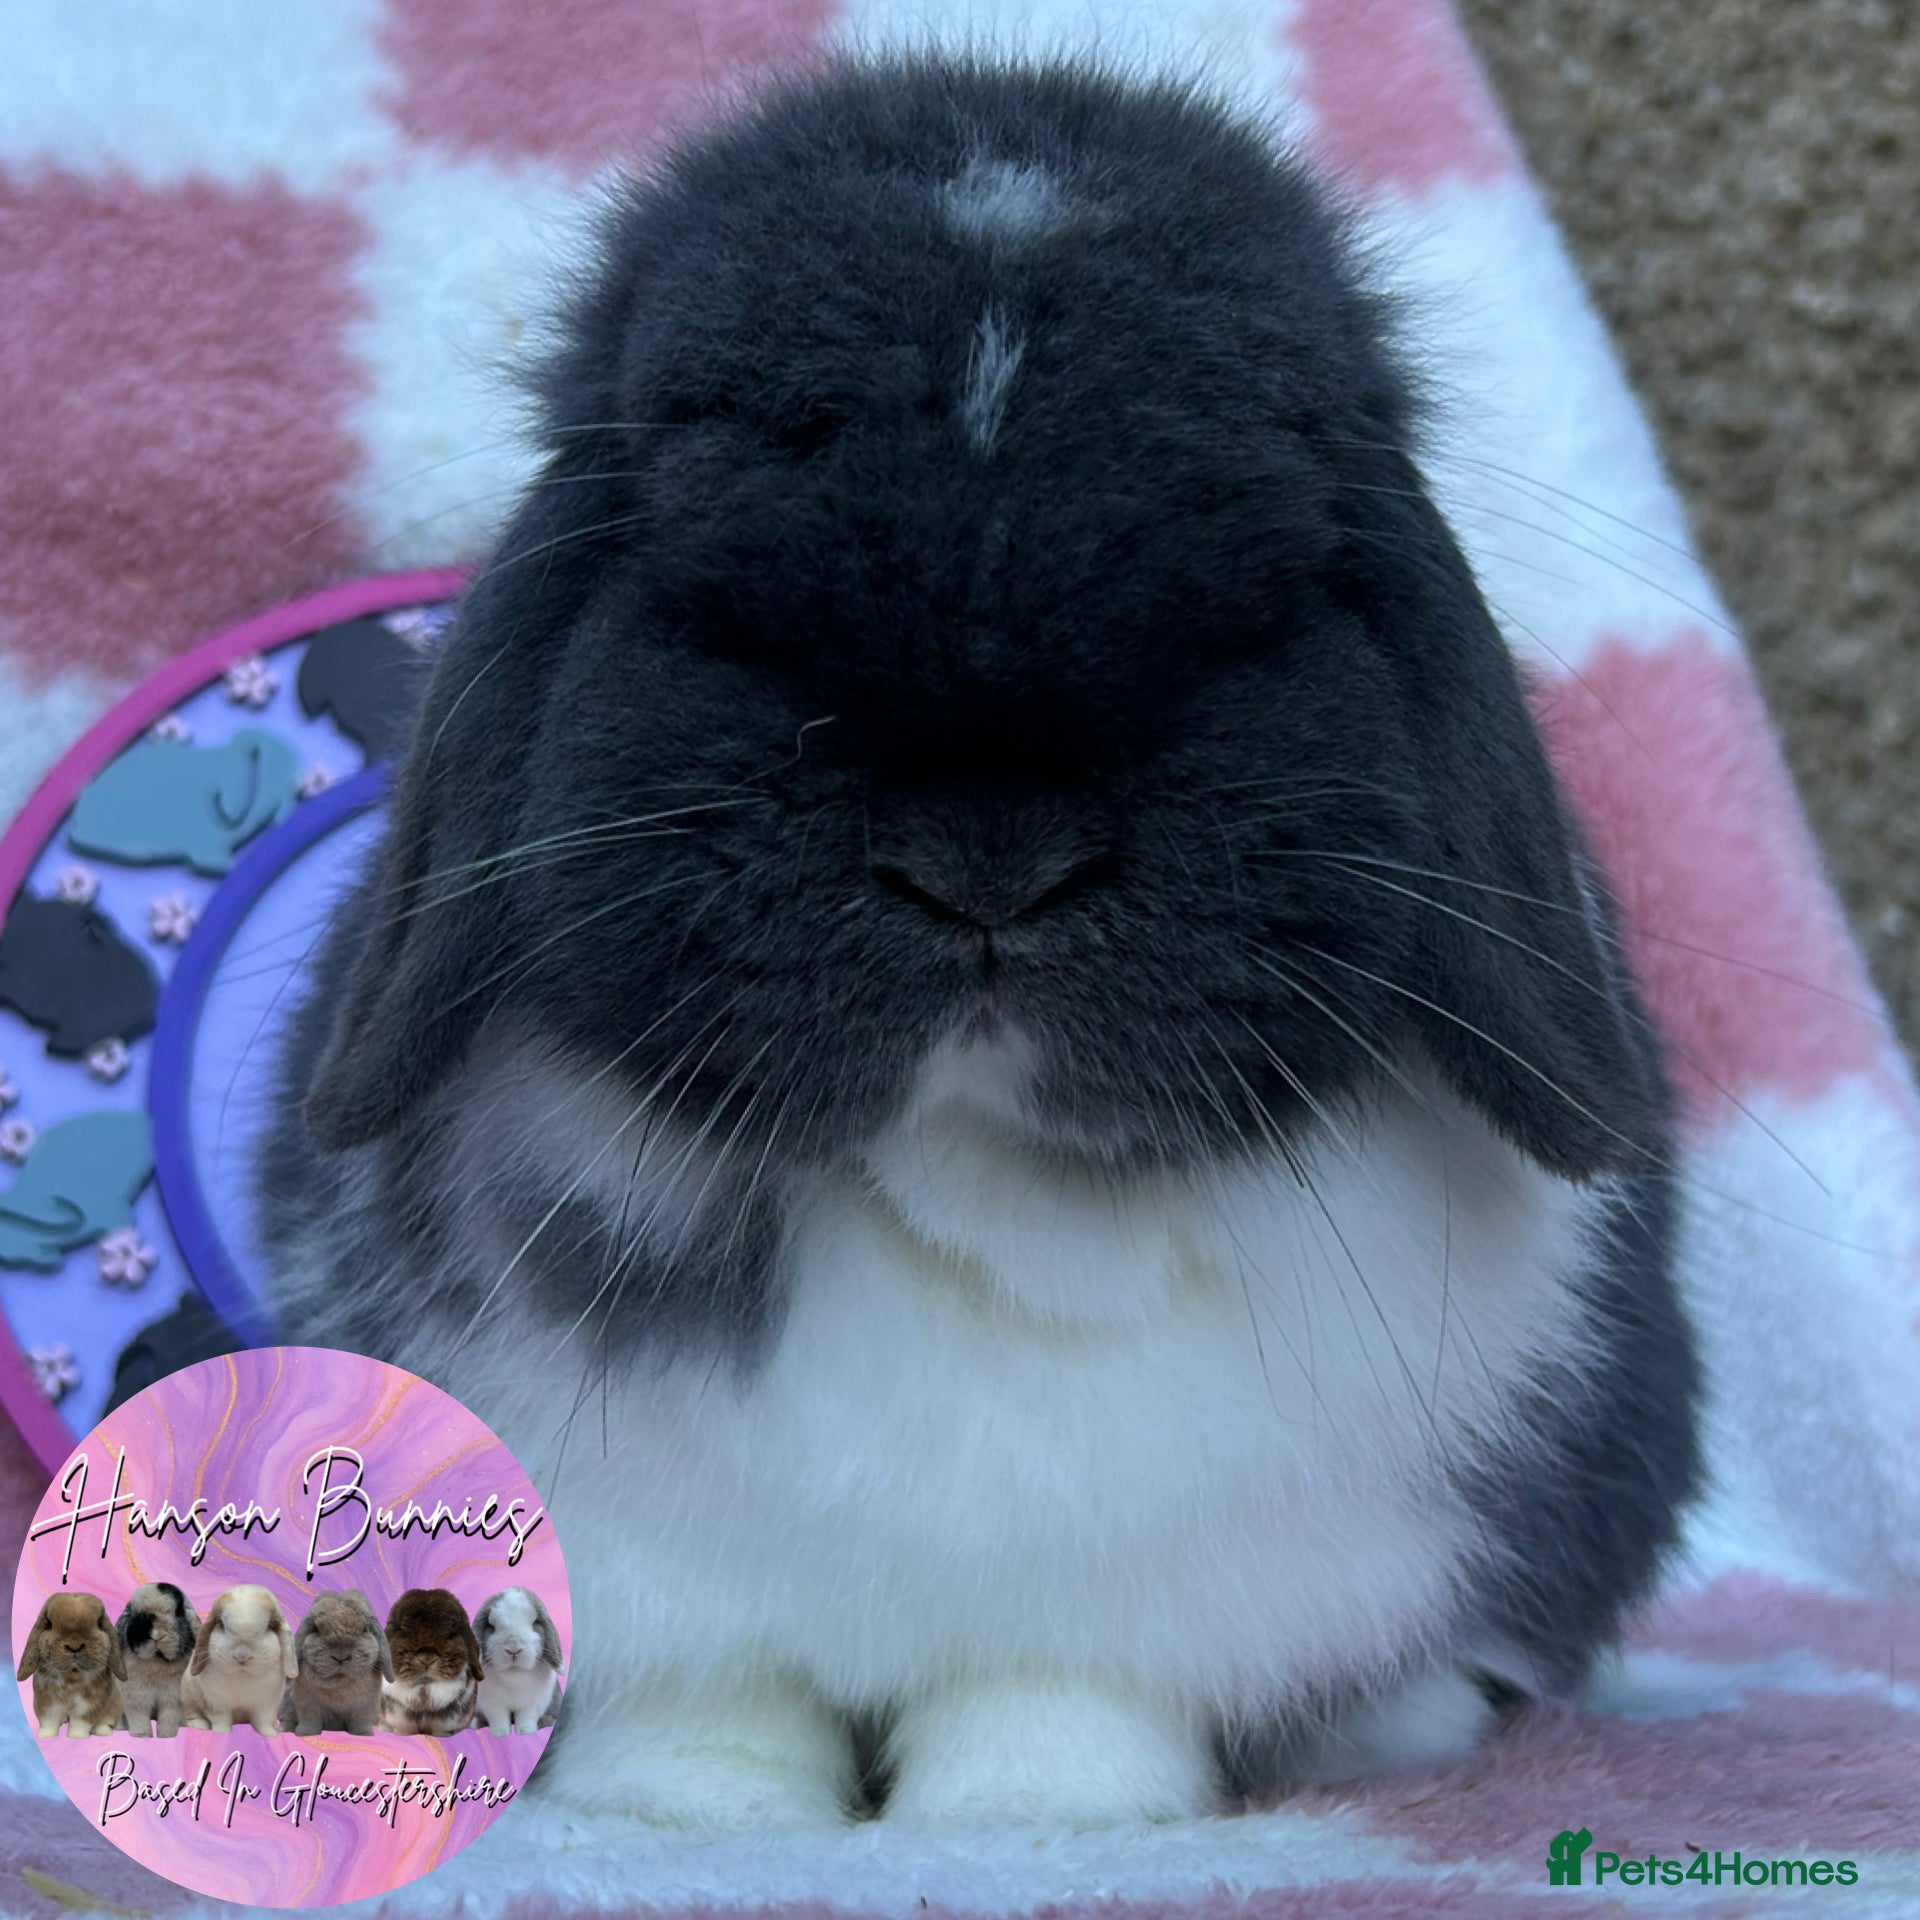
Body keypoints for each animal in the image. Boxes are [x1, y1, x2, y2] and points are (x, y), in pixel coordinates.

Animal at [17, 1593, 124, 1736]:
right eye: (49, 1624)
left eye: (98, 1623)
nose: (74, 1646)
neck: (71, 1674)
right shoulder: (47, 1702)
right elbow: (49, 1720)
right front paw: (45, 1735)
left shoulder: (87, 1705)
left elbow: (80, 1723)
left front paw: (76, 1736)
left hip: (115, 1705)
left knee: (105, 1720)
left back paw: (103, 1731)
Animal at [116, 1582, 199, 1736]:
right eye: (136, 1614)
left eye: (179, 1612)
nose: (157, 1635)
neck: (156, 1660)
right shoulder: (135, 1698)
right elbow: (138, 1717)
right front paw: (141, 1735)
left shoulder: (172, 1699)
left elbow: (169, 1717)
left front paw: (167, 1735)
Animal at [180, 1585, 296, 1733]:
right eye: (221, 1624)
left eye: (271, 1625)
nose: (242, 1655)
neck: (242, 1676)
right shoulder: (216, 1704)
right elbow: (221, 1721)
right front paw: (221, 1733)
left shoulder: (266, 1706)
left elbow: (263, 1722)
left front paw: (270, 1734)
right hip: (188, 1697)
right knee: (191, 1715)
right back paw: (202, 1725)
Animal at [282, 1590, 392, 1735]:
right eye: (316, 1628)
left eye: (364, 1628)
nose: (340, 1657)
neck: (339, 1682)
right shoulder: (307, 1705)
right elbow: (310, 1721)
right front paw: (305, 1733)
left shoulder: (364, 1708)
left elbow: (360, 1722)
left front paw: (364, 1734)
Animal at [473, 1587, 564, 1734]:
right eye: (491, 1626)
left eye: (535, 1622)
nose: (513, 1648)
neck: (514, 1674)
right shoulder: (491, 1704)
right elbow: (498, 1719)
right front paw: (500, 1733)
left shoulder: (532, 1704)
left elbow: (526, 1718)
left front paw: (525, 1731)